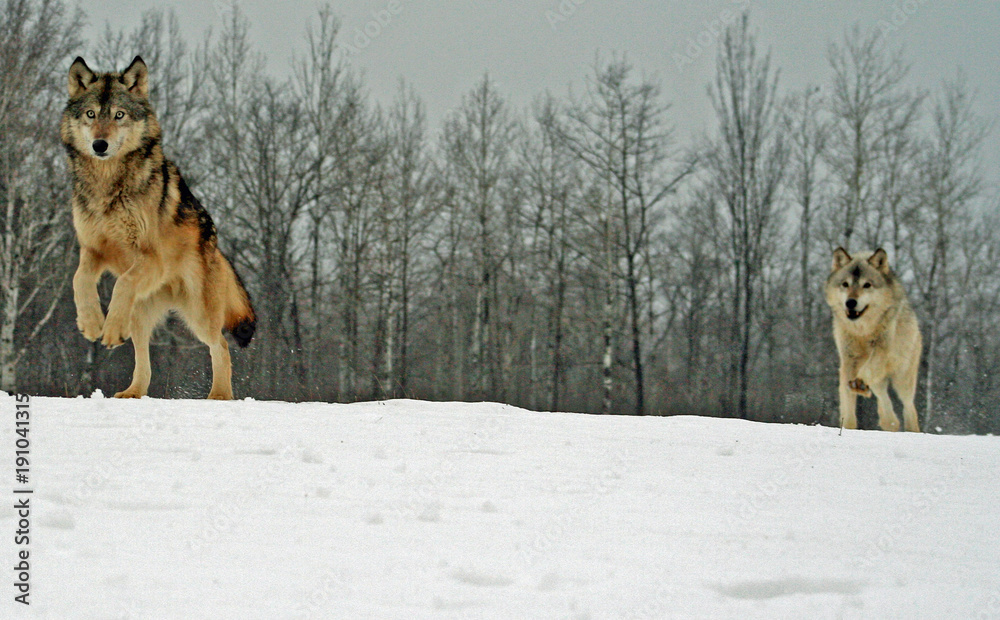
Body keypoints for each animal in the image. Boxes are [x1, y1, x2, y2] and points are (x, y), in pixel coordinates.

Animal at [61, 56, 255, 400]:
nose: (100, 144)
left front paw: (107, 328)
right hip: (141, 315)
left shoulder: (151, 259)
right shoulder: (93, 250)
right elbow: (79, 280)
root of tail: (217, 248)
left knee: (220, 345)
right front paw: (91, 323)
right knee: (143, 355)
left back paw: (219, 395)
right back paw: (132, 391)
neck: (108, 186)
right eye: (91, 114)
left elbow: (122, 282)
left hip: (199, 315)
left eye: (119, 115)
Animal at [825, 248, 921, 432]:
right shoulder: (848, 361)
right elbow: (847, 404)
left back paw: (911, 429)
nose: (851, 302)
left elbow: (867, 371)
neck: (863, 331)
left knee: (909, 405)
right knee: (882, 394)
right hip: (880, 378)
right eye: (845, 284)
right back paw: (890, 422)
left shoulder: (881, 351)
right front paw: (847, 428)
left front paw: (860, 383)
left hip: (902, 378)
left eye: (867, 285)